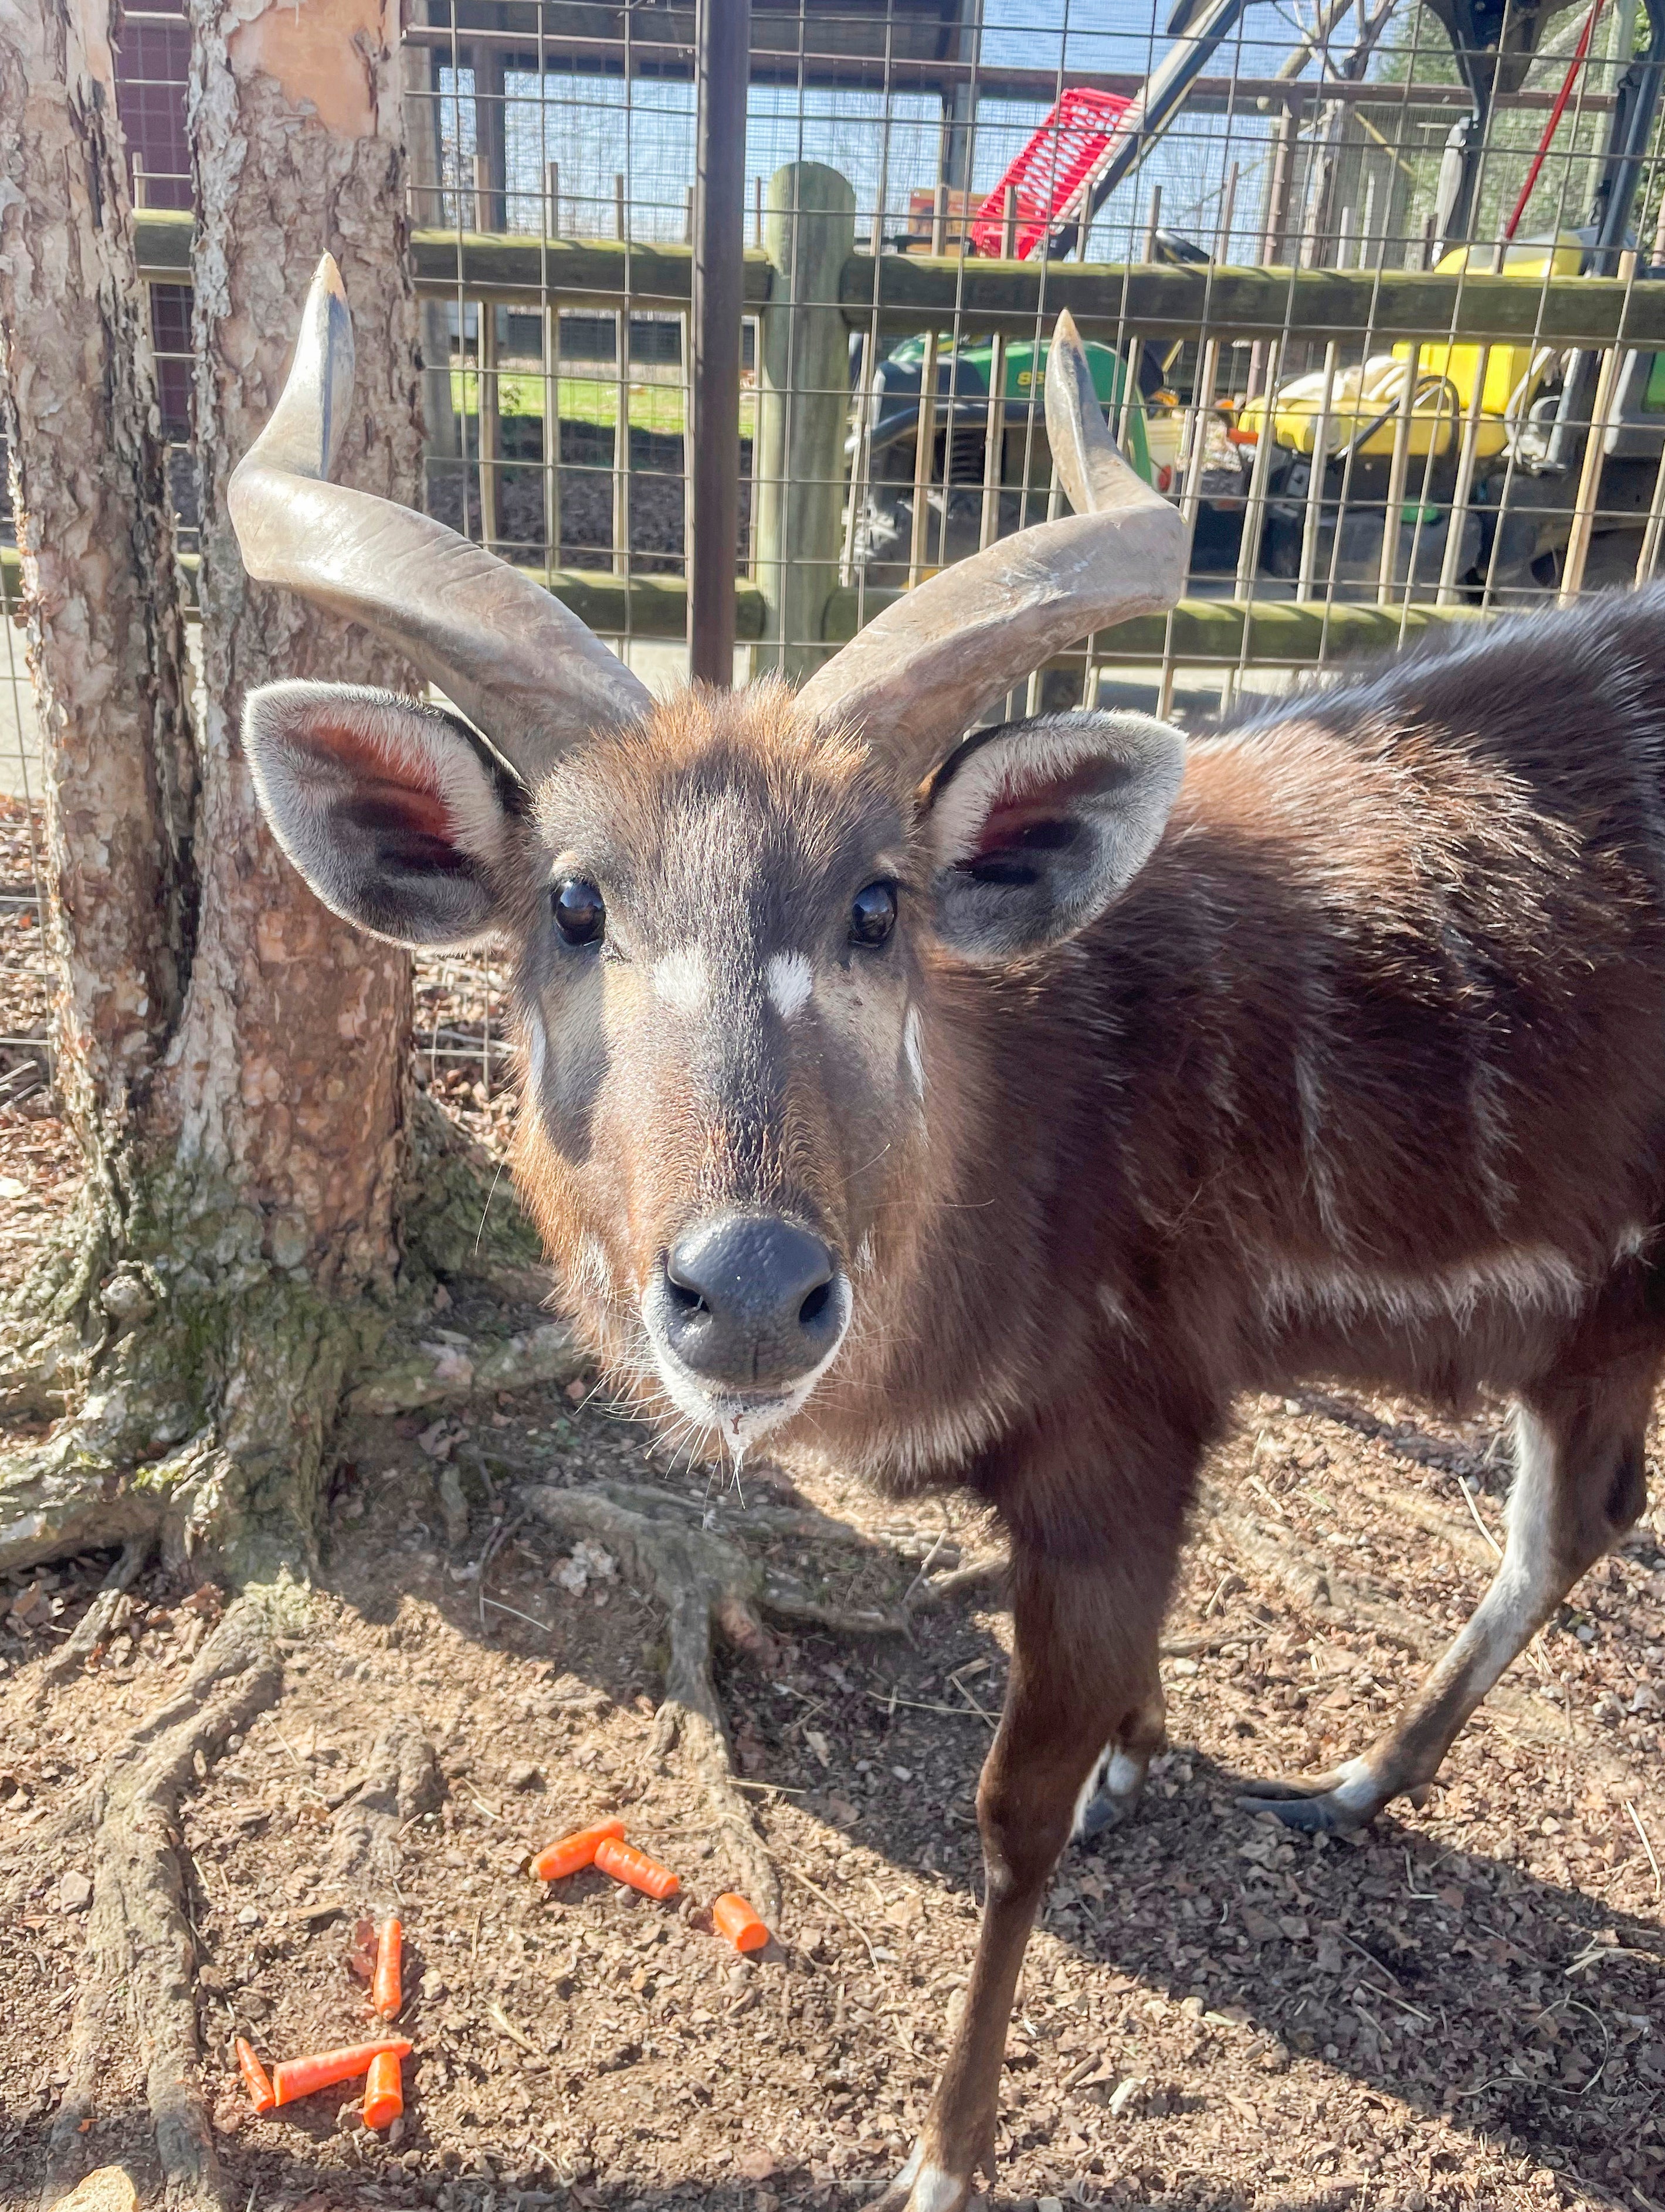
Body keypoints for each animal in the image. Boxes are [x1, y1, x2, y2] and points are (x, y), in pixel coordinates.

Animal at [232, 256, 1663, 2212]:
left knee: (1570, 1521)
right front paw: (1147, 1760)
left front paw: (945, 2148)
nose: (751, 1294)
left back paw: (1352, 1779)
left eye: (875, 903)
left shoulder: (1116, 1439)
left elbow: (1008, 1817)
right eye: (573, 903)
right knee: (1580, 1517)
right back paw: (1354, 1780)